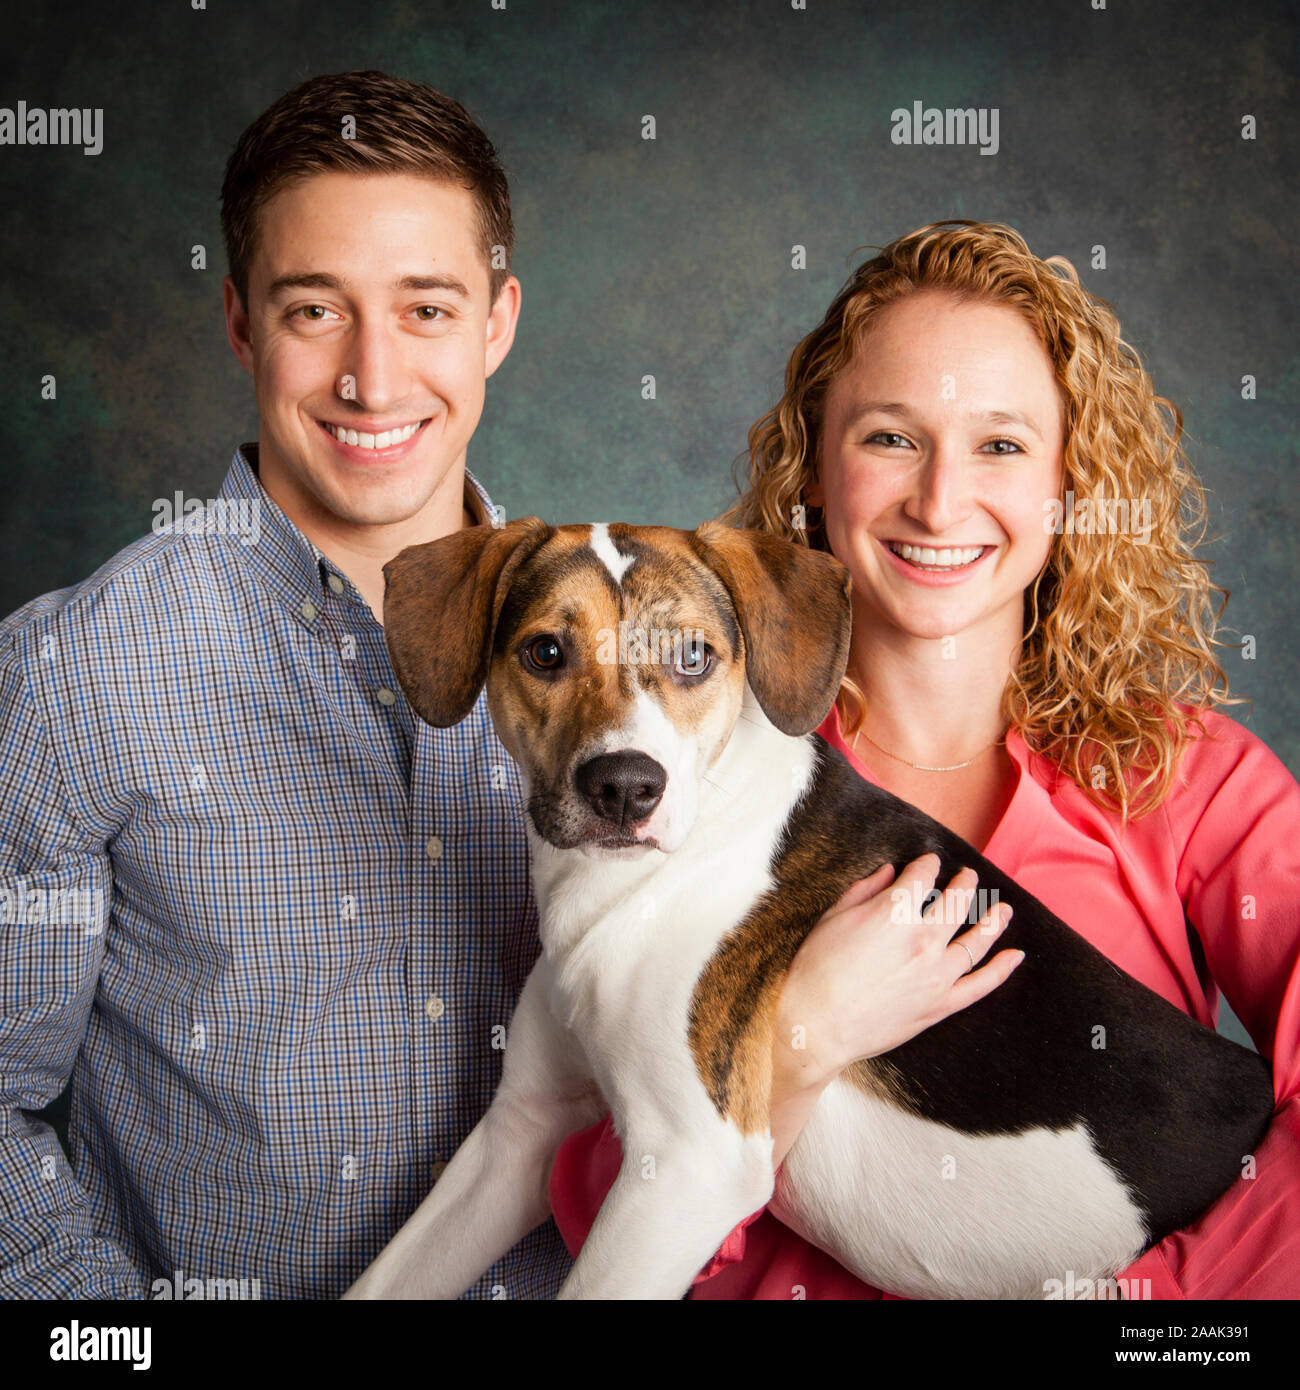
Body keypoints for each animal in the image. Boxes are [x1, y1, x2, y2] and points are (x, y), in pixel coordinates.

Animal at [340, 517, 1273, 1295]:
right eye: (543, 653)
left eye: (693, 656)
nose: (625, 788)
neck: (627, 888)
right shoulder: (519, 1135)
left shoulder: (688, 1168)